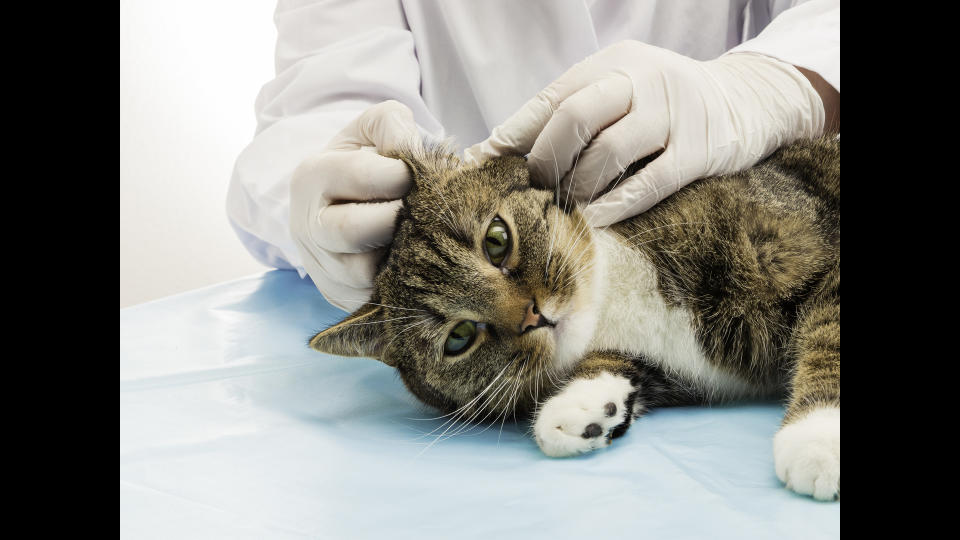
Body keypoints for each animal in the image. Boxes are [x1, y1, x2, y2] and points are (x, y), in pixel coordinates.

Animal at [310, 137, 840, 500]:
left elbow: (829, 336)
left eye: (497, 240)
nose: (533, 316)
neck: (614, 293)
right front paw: (581, 408)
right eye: (459, 337)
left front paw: (818, 435)